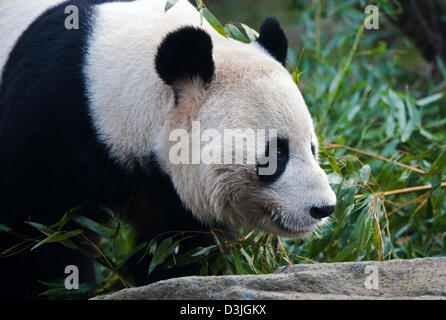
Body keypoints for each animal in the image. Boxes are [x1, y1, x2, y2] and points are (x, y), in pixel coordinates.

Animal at [0, 0, 334, 300]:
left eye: (312, 148)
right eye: (277, 154)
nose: (323, 208)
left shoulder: (167, 187)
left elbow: (179, 245)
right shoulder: (50, 116)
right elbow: (38, 239)